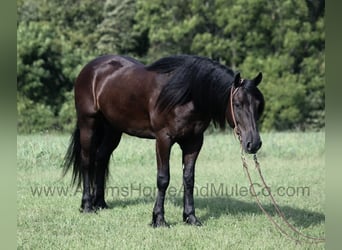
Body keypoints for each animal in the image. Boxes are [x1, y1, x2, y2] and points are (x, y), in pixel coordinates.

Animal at [62, 54, 264, 227]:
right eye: (237, 104)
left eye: (258, 105)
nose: (253, 143)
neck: (186, 95)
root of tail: (90, 68)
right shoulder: (163, 139)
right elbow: (163, 178)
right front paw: (158, 219)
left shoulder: (194, 142)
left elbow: (189, 179)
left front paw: (190, 217)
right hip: (88, 123)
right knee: (87, 161)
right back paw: (87, 206)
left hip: (113, 130)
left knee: (101, 158)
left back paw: (101, 203)